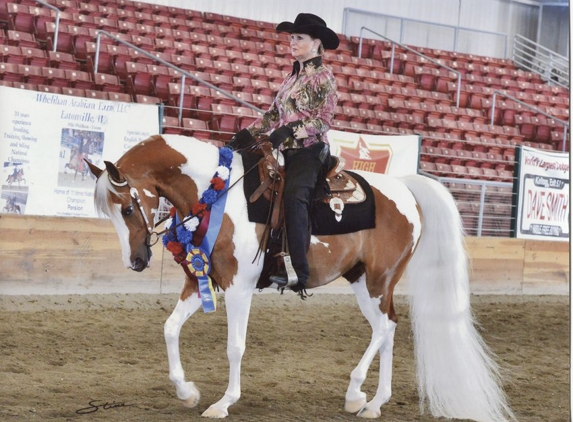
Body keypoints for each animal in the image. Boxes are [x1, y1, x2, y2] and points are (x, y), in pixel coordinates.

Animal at [86, 136, 512, 422]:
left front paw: (223, 402)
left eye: (127, 209)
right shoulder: (201, 282)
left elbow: (235, 347)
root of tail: (406, 188)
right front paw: (187, 391)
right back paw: (373, 402)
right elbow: (170, 329)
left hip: (378, 280)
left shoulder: (239, 287)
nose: (135, 261)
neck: (216, 194)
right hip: (363, 281)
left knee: (384, 327)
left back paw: (356, 392)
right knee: (388, 327)